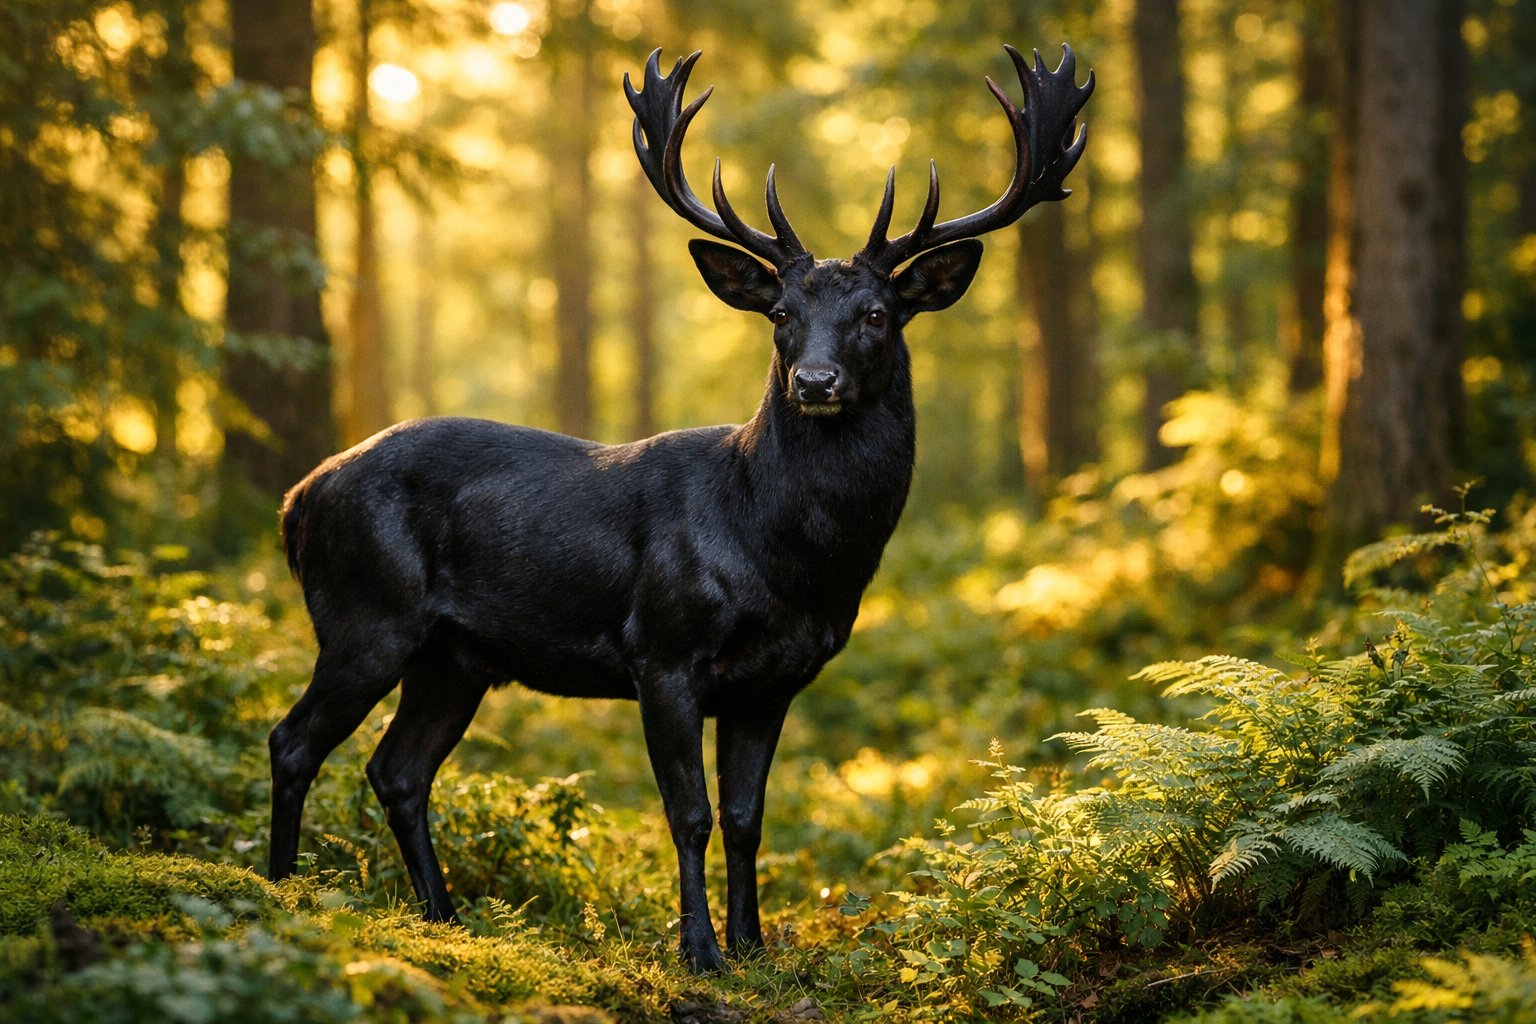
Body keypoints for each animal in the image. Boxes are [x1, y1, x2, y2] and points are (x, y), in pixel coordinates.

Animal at [268, 43, 1091, 973]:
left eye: (879, 313)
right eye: (781, 314)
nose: (815, 382)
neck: (787, 558)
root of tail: (296, 502)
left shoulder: (775, 681)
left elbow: (746, 817)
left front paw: (753, 944)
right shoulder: (660, 652)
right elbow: (689, 814)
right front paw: (698, 949)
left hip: (455, 657)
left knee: (397, 769)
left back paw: (441, 917)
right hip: (366, 615)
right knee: (294, 741)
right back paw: (282, 892)